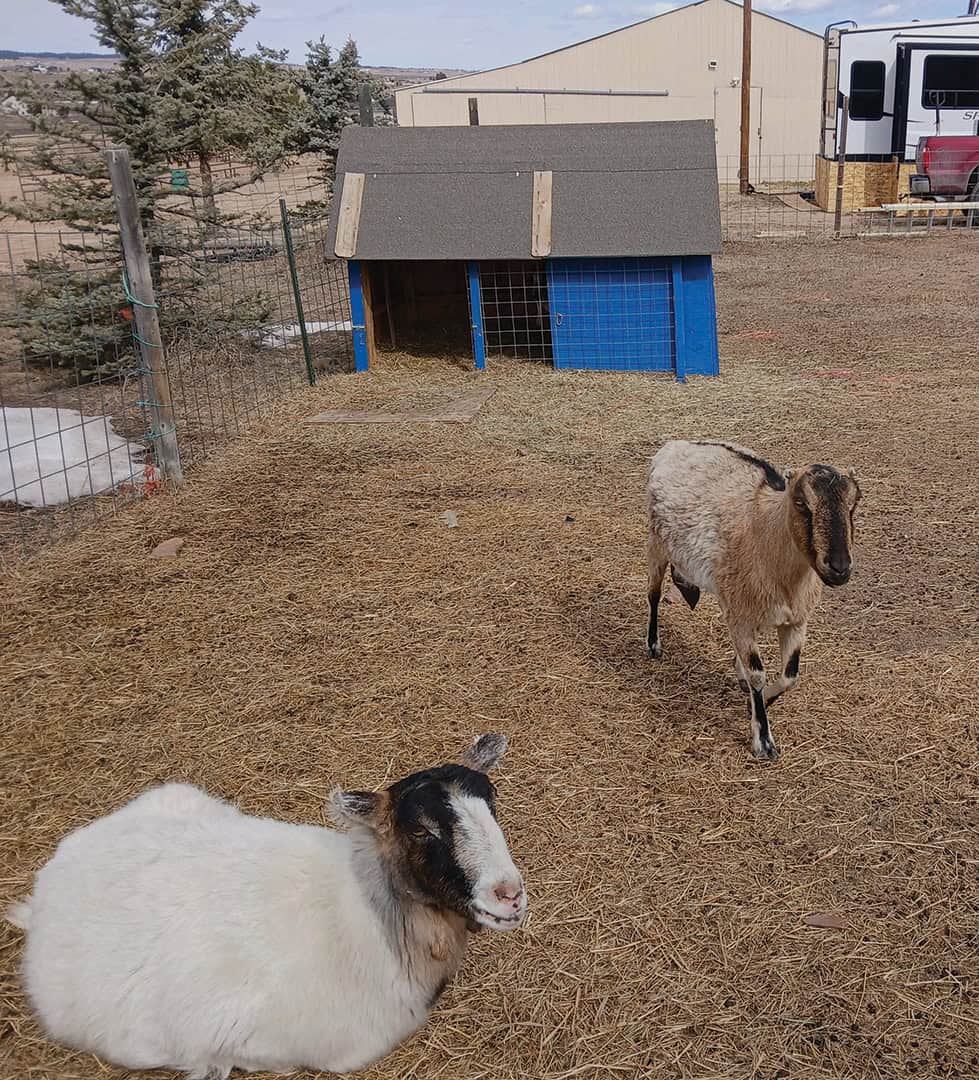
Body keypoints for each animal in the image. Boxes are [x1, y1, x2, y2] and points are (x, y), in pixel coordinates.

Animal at [645, 440, 861, 760]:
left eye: (854, 504)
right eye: (801, 503)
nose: (839, 568)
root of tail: (675, 444)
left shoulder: (796, 620)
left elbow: (790, 676)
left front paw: (757, 702)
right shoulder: (743, 616)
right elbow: (759, 674)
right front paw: (764, 740)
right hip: (656, 544)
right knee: (654, 594)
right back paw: (653, 644)